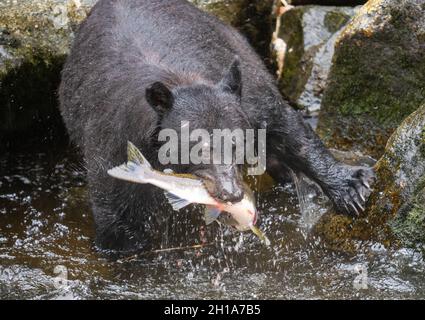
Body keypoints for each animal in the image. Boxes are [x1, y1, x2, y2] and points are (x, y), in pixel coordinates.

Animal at [58, 0, 372, 250]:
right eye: (196, 147)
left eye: (236, 144)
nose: (231, 193)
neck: (181, 78)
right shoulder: (115, 137)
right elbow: (115, 205)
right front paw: (122, 244)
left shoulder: (249, 100)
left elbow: (287, 128)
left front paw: (351, 186)